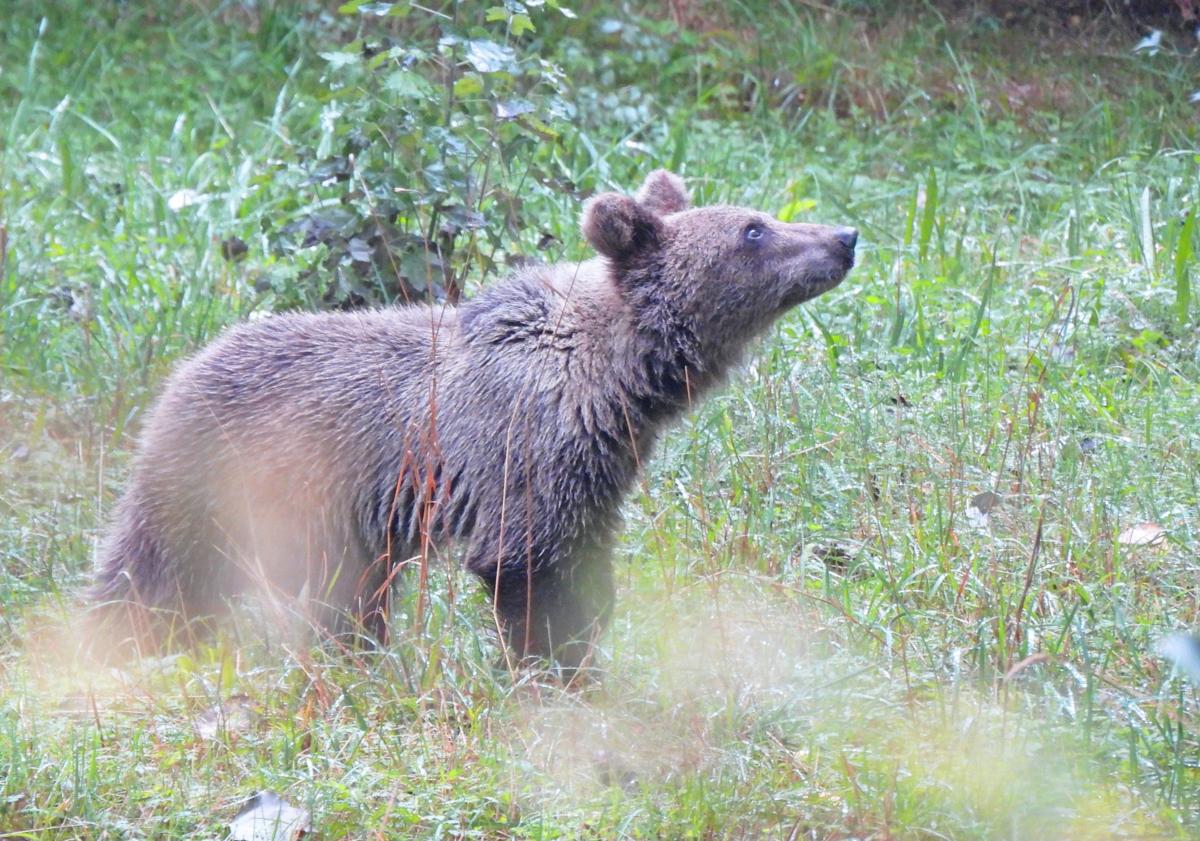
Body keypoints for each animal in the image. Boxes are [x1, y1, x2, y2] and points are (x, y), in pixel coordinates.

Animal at [88, 169, 854, 667]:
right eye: (753, 230)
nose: (845, 235)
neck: (614, 383)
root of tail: (182, 369)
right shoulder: (520, 450)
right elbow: (528, 569)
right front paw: (558, 672)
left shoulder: (599, 469)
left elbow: (589, 568)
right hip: (219, 476)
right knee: (155, 574)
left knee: (347, 596)